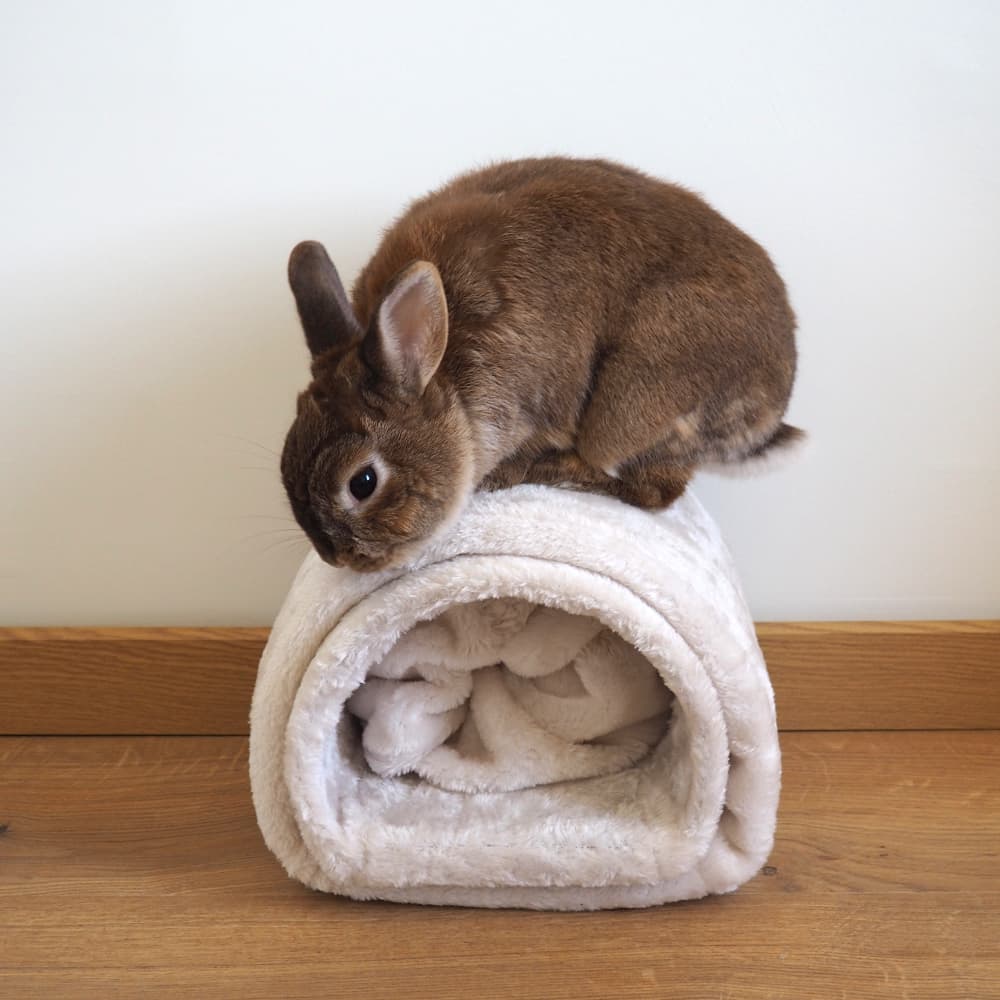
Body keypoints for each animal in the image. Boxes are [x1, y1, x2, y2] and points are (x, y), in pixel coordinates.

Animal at [281, 157, 803, 572]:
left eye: (363, 483)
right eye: (286, 461)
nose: (339, 558)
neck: (445, 378)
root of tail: (775, 405)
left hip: (635, 400)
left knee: (653, 487)